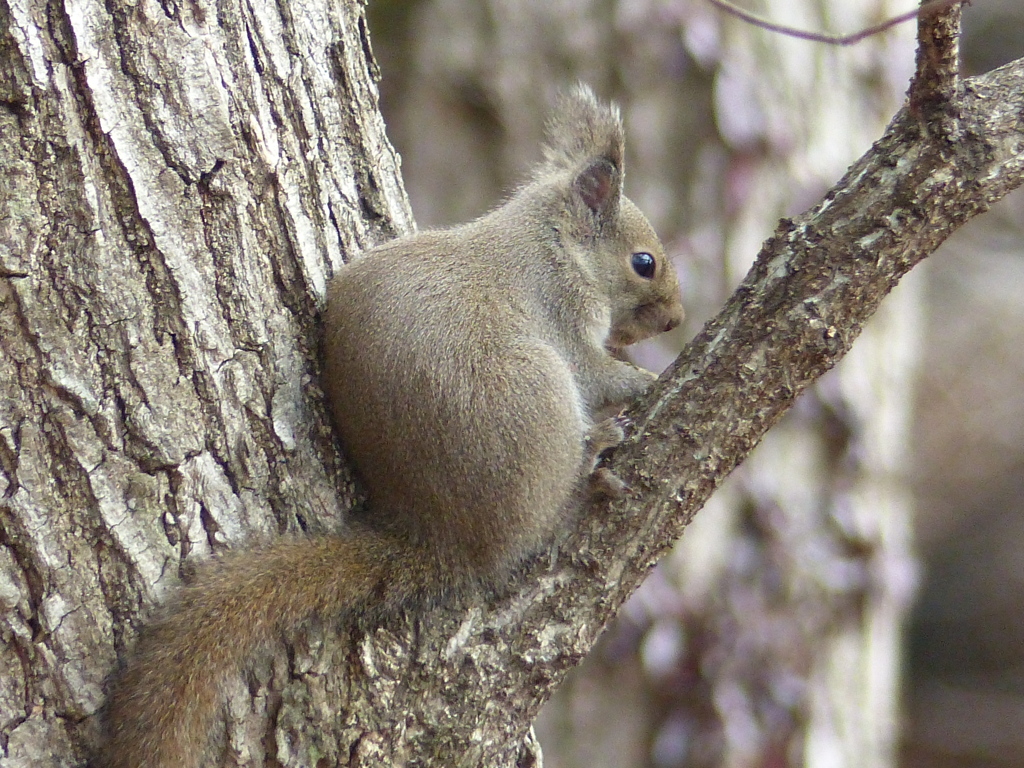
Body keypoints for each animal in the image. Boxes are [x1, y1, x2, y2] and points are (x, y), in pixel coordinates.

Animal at [96, 83, 684, 768]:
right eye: (644, 262)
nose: (675, 319)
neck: (554, 239)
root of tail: (440, 536)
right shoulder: (563, 311)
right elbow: (597, 374)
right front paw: (642, 382)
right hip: (538, 400)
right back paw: (588, 469)